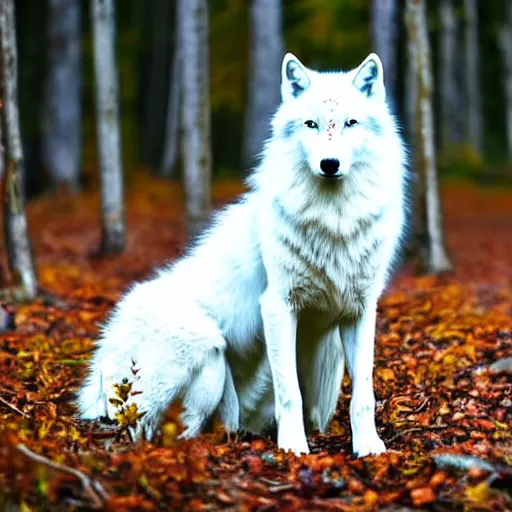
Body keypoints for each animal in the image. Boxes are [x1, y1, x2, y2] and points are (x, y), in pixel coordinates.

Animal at [78, 53, 406, 456]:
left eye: (351, 123)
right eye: (311, 124)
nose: (329, 164)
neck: (333, 223)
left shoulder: (360, 310)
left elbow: (363, 394)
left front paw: (369, 447)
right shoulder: (278, 307)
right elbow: (290, 393)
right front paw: (293, 448)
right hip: (205, 346)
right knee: (143, 428)